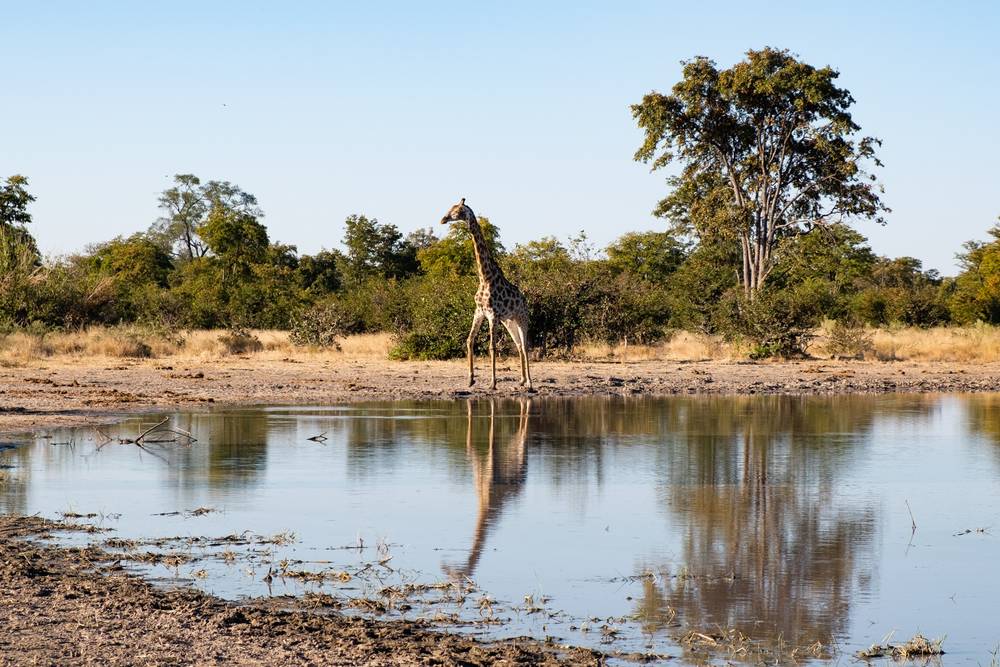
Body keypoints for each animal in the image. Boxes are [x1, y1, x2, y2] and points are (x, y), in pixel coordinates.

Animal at [440, 198, 533, 390]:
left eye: (456, 211)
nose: (443, 219)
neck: (485, 277)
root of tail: (524, 299)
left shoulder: (492, 315)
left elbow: (492, 347)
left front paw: (493, 383)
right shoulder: (479, 312)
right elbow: (469, 340)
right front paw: (470, 379)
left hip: (522, 318)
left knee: (525, 346)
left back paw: (529, 382)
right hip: (509, 321)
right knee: (519, 345)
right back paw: (521, 380)